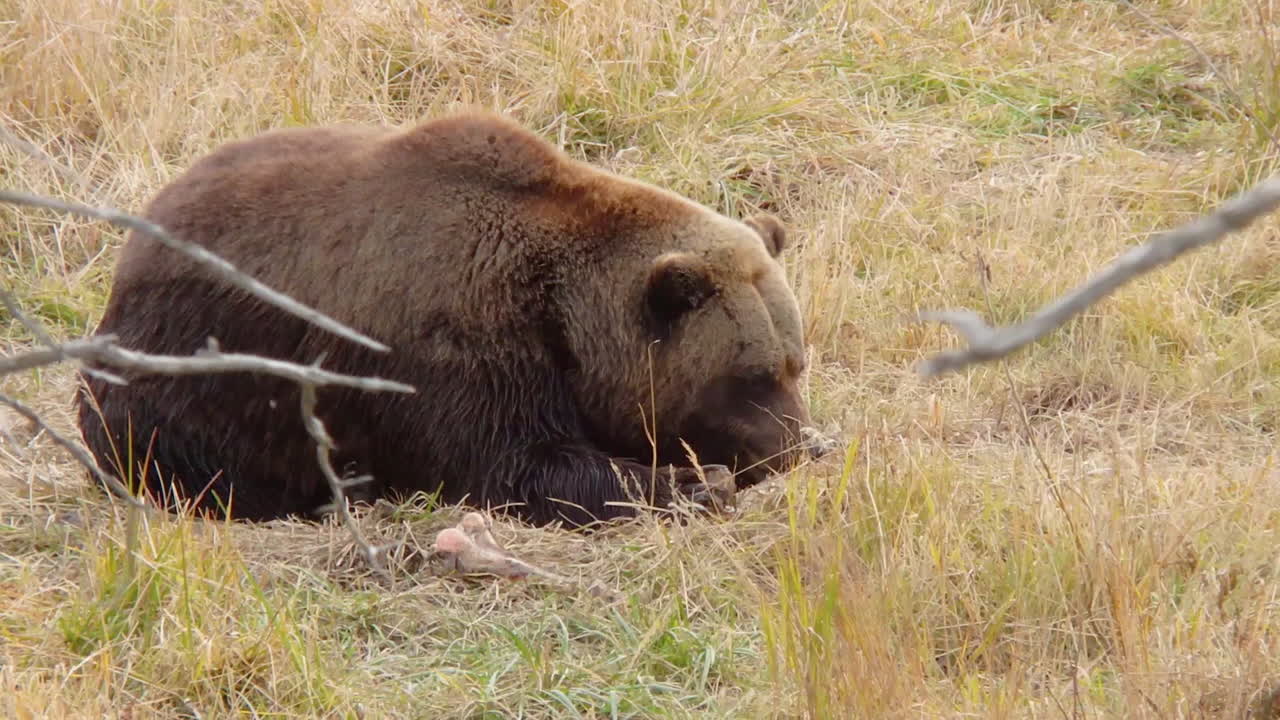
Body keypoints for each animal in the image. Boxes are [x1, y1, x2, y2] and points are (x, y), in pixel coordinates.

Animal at [74, 110, 820, 529]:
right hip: (190, 370)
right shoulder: (451, 344)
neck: (562, 317)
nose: (795, 446)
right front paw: (691, 483)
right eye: (751, 374)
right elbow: (516, 464)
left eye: (794, 362)